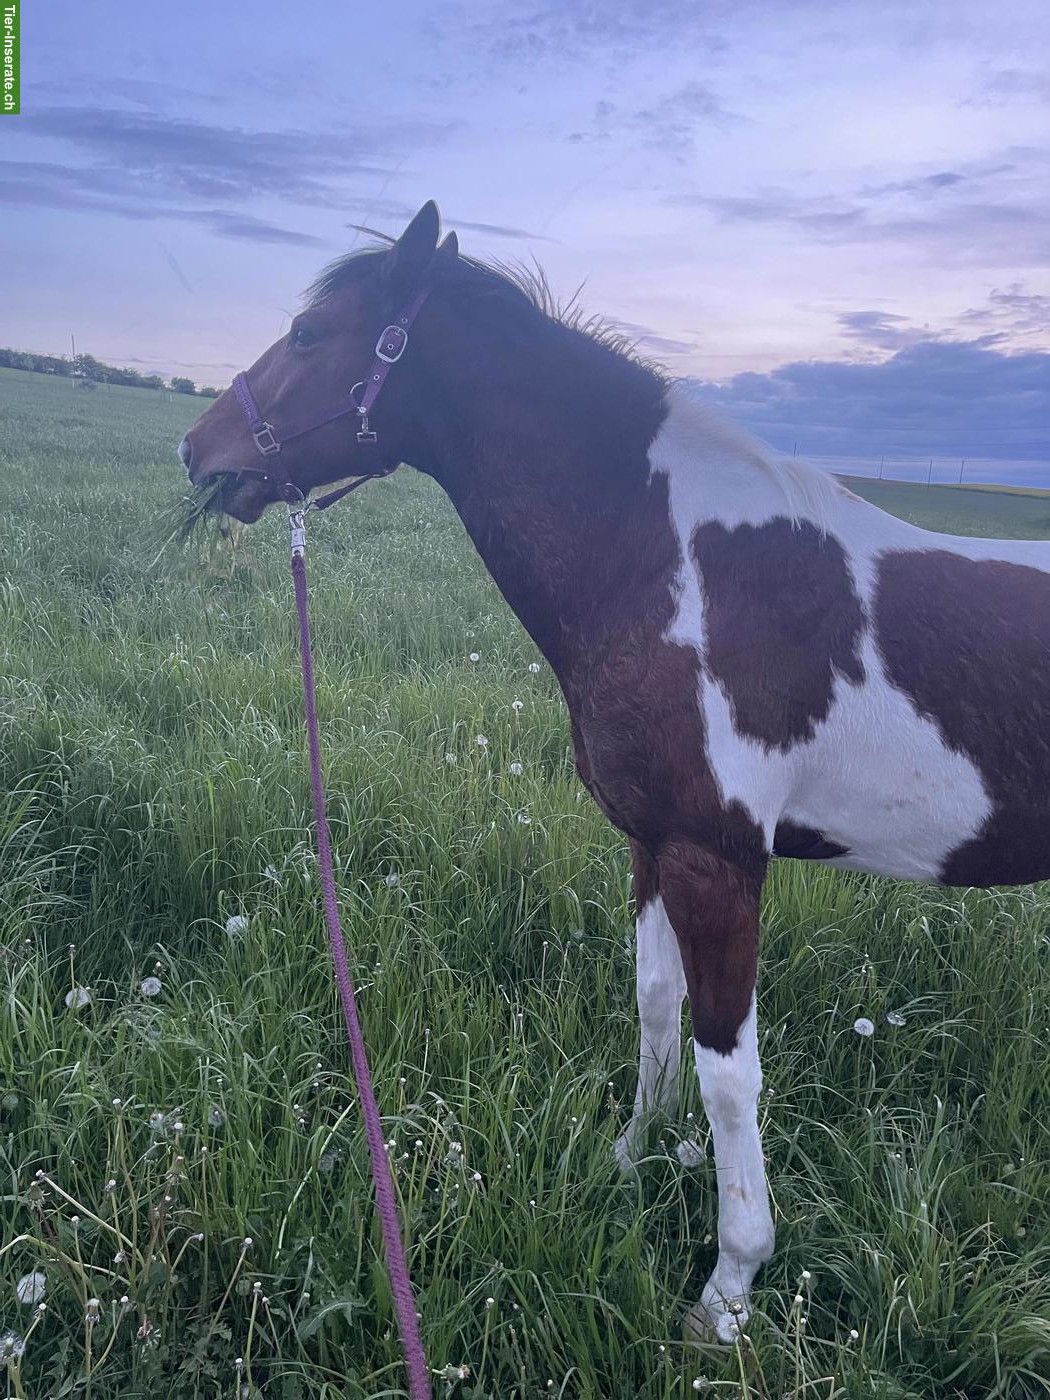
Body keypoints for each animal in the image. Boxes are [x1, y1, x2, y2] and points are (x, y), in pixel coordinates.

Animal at [178, 201, 1050, 1343]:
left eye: (312, 333)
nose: (197, 450)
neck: (674, 566)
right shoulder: (653, 843)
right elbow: (654, 1004)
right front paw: (633, 1155)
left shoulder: (720, 862)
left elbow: (730, 1073)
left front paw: (728, 1287)